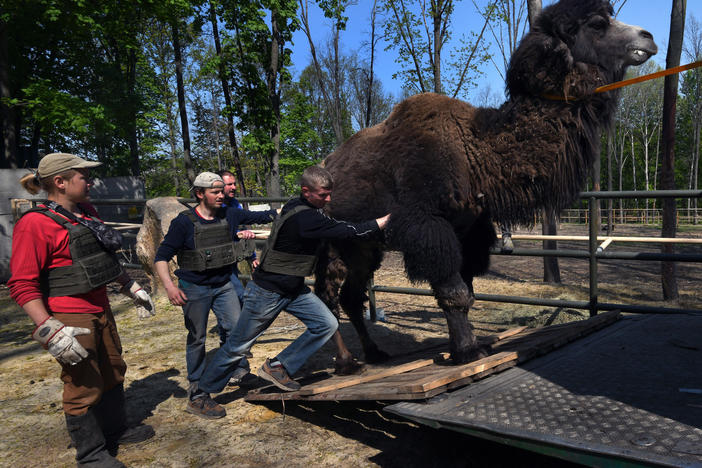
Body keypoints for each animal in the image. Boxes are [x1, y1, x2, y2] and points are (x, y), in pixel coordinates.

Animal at [316, 0, 656, 370]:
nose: (649, 37)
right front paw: (468, 353)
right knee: (327, 296)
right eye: (596, 24)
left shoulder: (470, 232)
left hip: (363, 247)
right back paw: (346, 362)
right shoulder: (428, 227)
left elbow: (467, 291)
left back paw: (374, 353)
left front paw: (463, 347)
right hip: (331, 243)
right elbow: (453, 293)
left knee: (349, 296)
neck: (476, 151)